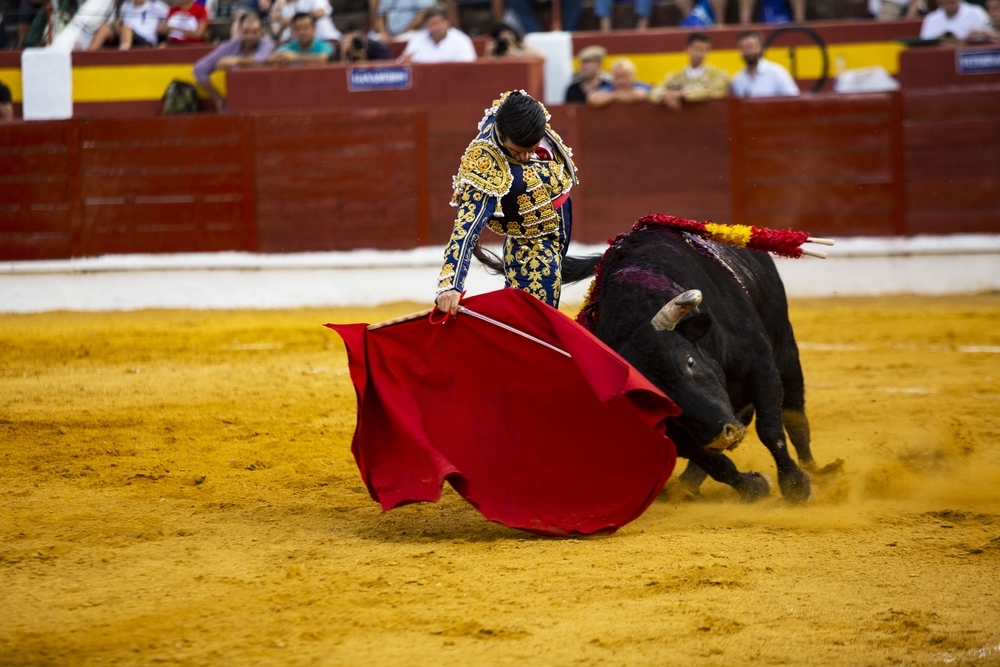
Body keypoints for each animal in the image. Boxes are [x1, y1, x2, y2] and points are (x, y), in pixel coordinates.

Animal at [480, 224, 816, 500]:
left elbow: (771, 427)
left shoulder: (761, 365)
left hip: (786, 349)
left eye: (690, 362)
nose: (722, 435)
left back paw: (818, 472)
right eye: (661, 398)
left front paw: (796, 486)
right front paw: (754, 486)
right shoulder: (672, 426)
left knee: (794, 412)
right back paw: (686, 487)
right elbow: (715, 462)